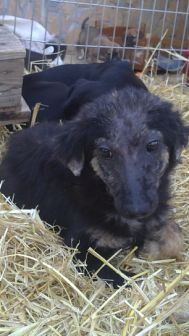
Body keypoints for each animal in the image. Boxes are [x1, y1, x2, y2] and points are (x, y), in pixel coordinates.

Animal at [0, 86, 188, 286]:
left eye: (152, 145)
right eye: (105, 152)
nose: (137, 210)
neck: (100, 190)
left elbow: (176, 237)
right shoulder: (81, 249)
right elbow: (128, 279)